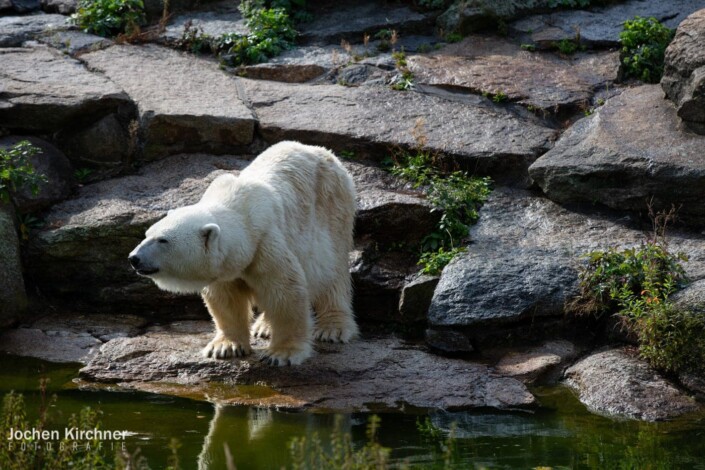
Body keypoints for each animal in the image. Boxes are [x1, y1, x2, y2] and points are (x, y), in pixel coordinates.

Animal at [127, 141, 358, 366]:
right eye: (147, 234)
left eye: (162, 240)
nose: (134, 258)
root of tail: (320, 150)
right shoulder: (226, 267)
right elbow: (225, 299)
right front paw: (224, 347)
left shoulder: (265, 244)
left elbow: (285, 292)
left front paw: (282, 354)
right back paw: (264, 327)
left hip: (333, 208)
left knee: (333, 271)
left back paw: (332, 328)